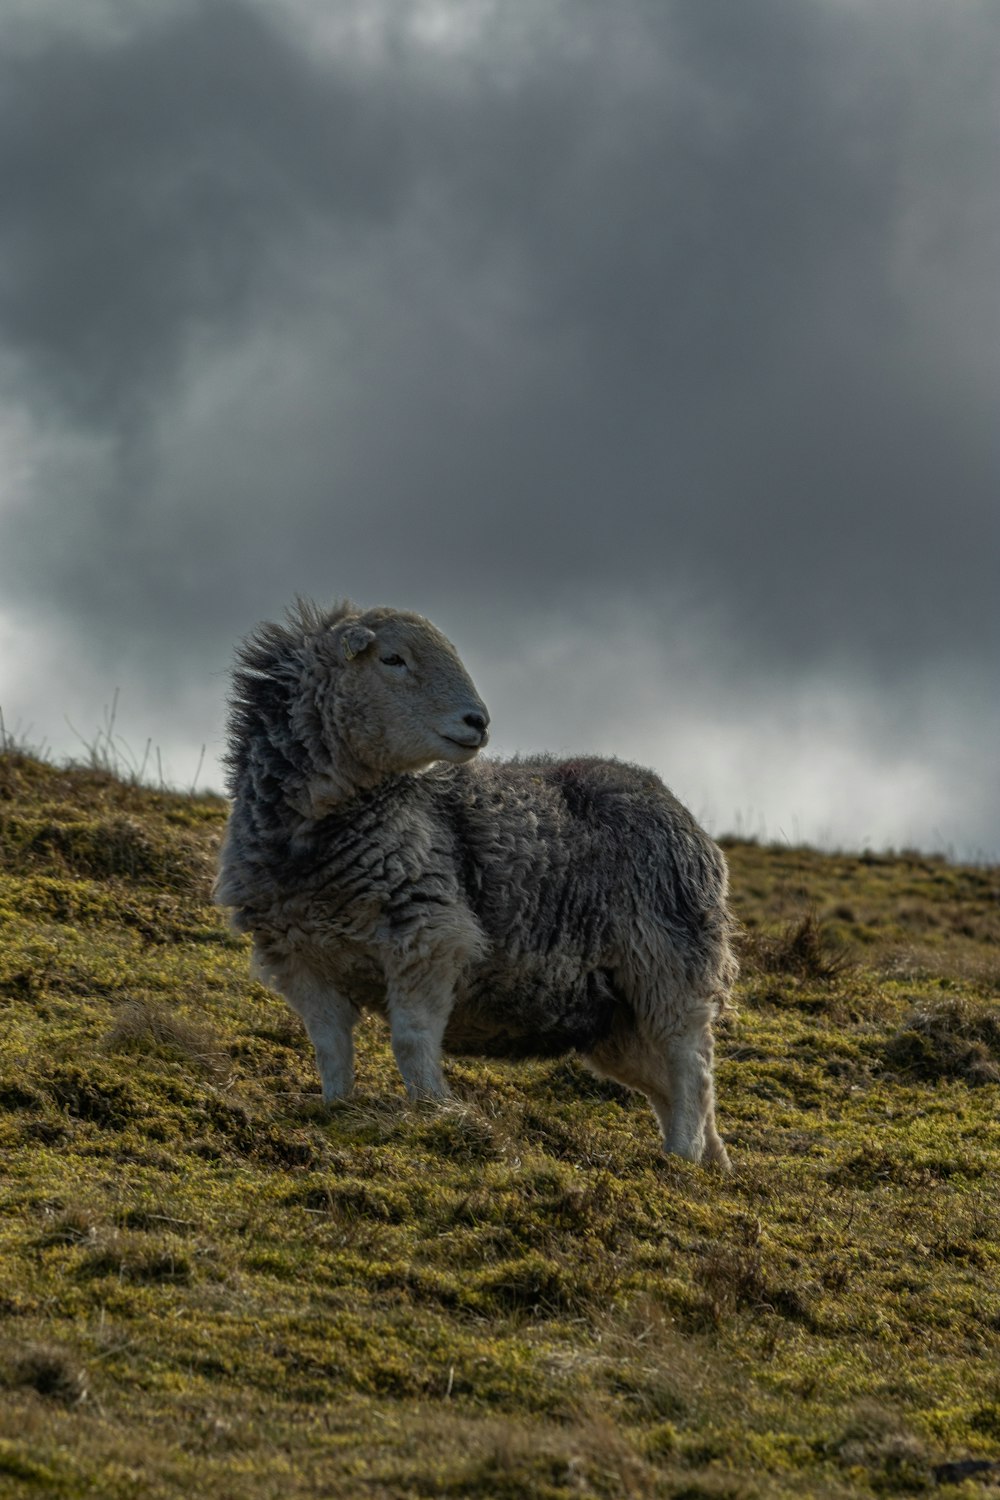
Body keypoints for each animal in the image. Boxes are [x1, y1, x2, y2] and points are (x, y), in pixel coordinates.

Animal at [217, 600, 734, 1170]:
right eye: (392, 659)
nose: (478, 722)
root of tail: (677, 807)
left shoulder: (428, 936)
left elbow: (412, 1040)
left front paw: (434, 1111)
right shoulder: (301, 960)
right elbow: (331, 1050)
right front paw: (337, 1110)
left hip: (669, 963)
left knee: (691, 1067)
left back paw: (681, 1158)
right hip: (613, 1016)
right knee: (674, 1084)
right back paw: (710, 1164)